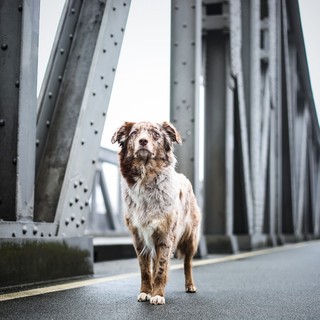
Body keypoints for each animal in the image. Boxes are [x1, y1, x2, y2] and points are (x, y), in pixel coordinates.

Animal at [111, 120, 201, 304]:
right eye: (134, 133)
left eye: (156, 134)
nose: (143, 141)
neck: (146, 177)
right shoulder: (139, 237)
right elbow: (146, 270)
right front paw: (146, 292)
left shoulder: (165, 236)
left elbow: (160, 269)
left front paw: (158, 295)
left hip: (191, 238)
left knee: (187, 263)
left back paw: (190, 286)